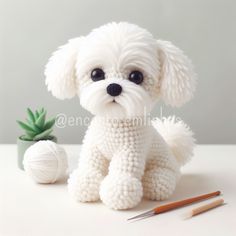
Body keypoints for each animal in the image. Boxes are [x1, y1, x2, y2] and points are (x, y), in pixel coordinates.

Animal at [44, 22, 195, 209]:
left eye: (136, 77)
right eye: (96, 74)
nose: (114, 87)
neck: (114, 121)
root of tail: (173, 152)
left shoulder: (130, 150)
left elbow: (123, 171)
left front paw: (119, 191)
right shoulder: (94, 148)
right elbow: (90, 164)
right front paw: (84, 184)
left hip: (163, 164)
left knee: (163, 177)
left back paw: (156, 181)